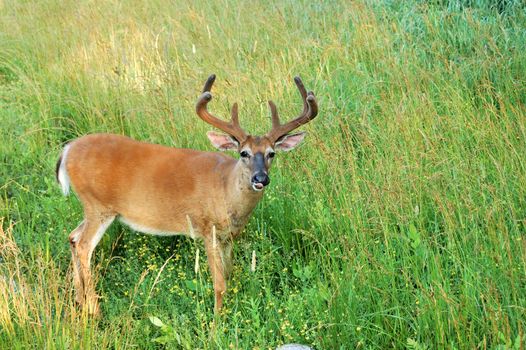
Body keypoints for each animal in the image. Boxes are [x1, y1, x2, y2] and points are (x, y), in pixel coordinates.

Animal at [56, 74, 320, 314]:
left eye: (271, 153)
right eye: (243, 152)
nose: (260, 179)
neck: (225, 189)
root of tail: (67, 150)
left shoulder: (228, 236)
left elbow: (230, 274)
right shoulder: (206, 229)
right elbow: (220, 284)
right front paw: (217, 325)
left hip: (93, 208)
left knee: (73, 237)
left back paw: (79, 300)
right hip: (98, 205)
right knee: (84, 246)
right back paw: (94, 310)